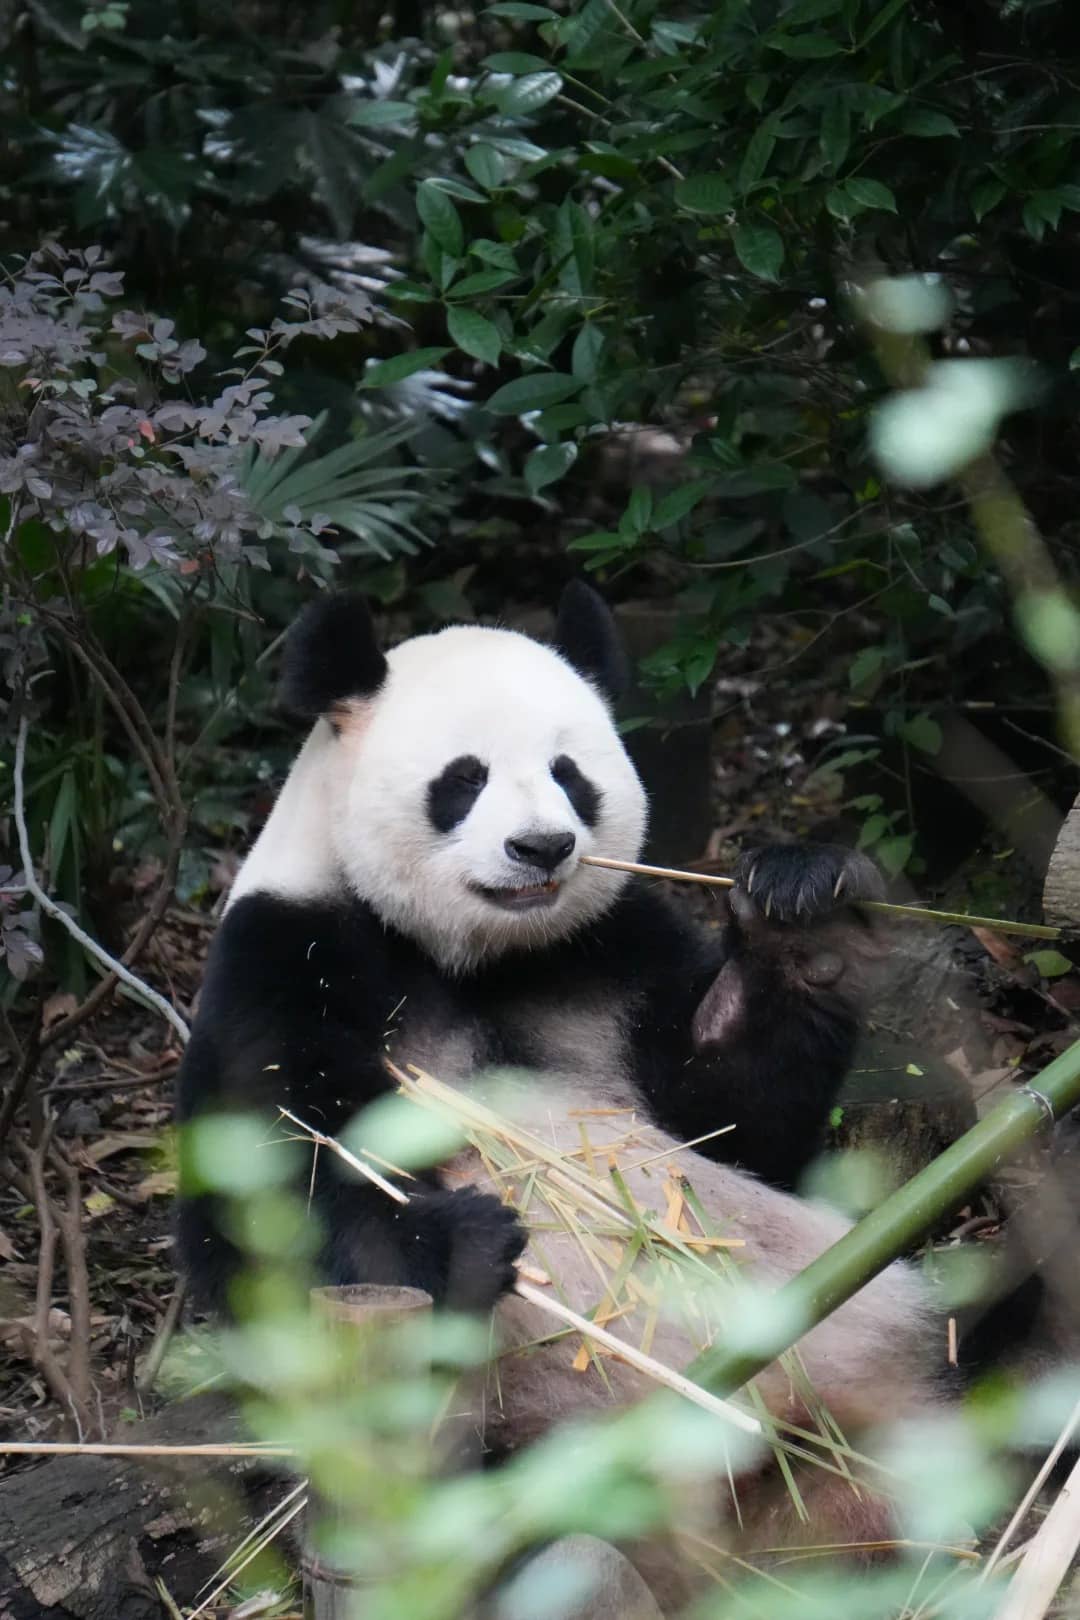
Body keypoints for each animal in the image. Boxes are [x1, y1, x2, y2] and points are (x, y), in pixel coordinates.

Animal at [176, 583, 944, 1602]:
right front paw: (458, 1242)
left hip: (866, 1357)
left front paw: (799, 913)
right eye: (463, 778)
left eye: (571, 774)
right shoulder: (286, 956)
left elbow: (741, 1128)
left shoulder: (613, 952)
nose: (541, 846)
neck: (478, 956)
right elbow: (261, 1192)